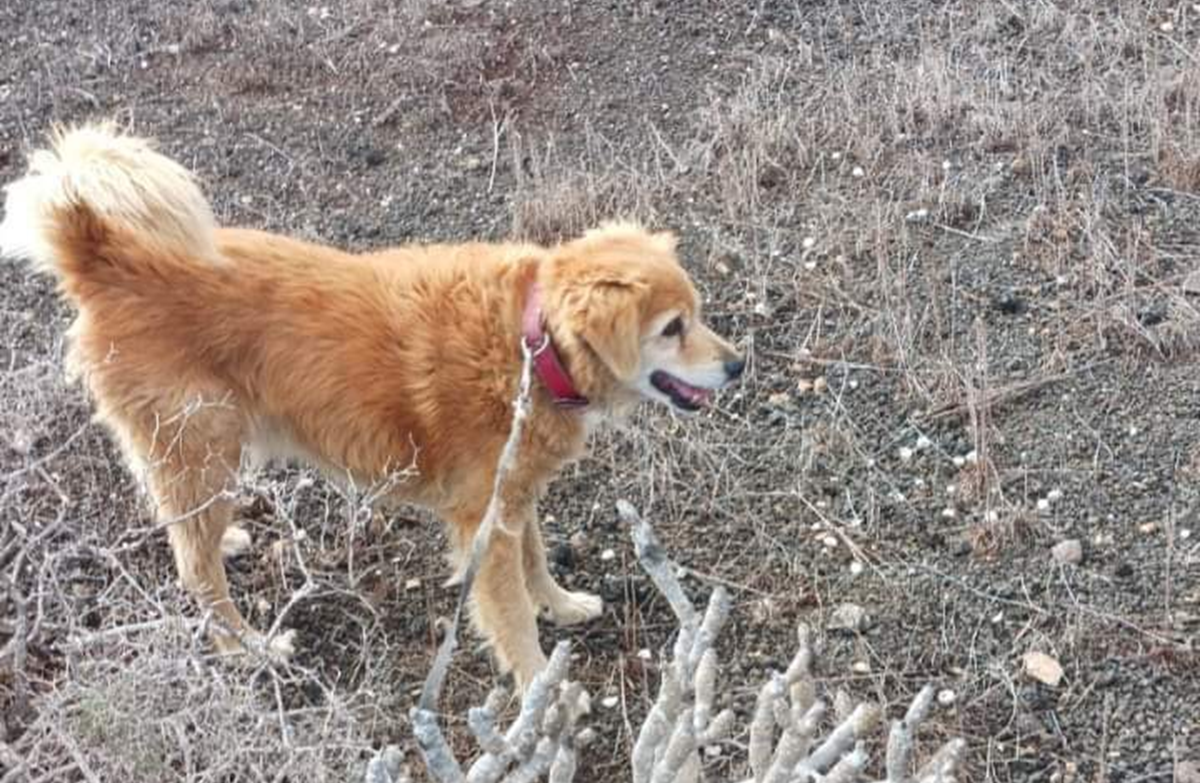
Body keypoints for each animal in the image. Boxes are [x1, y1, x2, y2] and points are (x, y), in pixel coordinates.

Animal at [0, 123, 744, 691]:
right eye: (672, 328)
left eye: (697, 314)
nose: (738, 364)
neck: (534, 343)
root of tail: (104, 254)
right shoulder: (485, 521)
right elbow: (510, 615)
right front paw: (542, 689)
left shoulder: (514, 495)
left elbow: (536, 562)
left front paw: (560, 605)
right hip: (201, 444)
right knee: (194, 569)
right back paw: (248, 647)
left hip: (195, 453)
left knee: (185, 525)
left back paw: (225, 536)